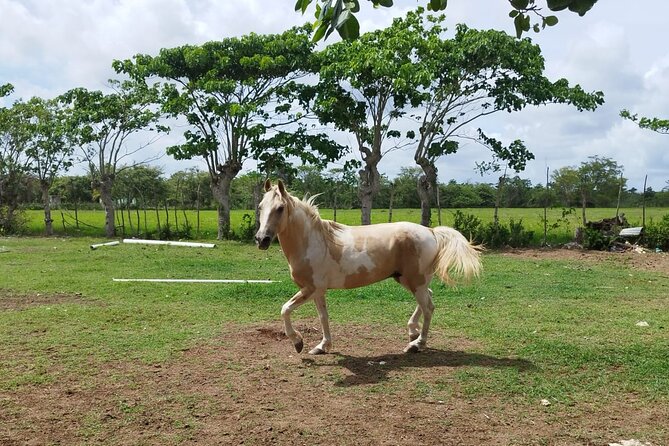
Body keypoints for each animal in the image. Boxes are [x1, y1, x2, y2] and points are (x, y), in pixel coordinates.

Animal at [255, 179, 482, 354]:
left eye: (280, 208)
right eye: (260, 207)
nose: (261, 239)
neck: (313, 241)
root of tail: (432, 232)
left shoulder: (310, 288)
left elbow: (285, 309)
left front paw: (298, 343)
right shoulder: (318, 291)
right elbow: (323, 317)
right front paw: (322, 347)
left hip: (415, 282)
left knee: (429, 307)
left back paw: (417, 344)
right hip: (408, 280)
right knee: (429, 298)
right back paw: (412, 332)